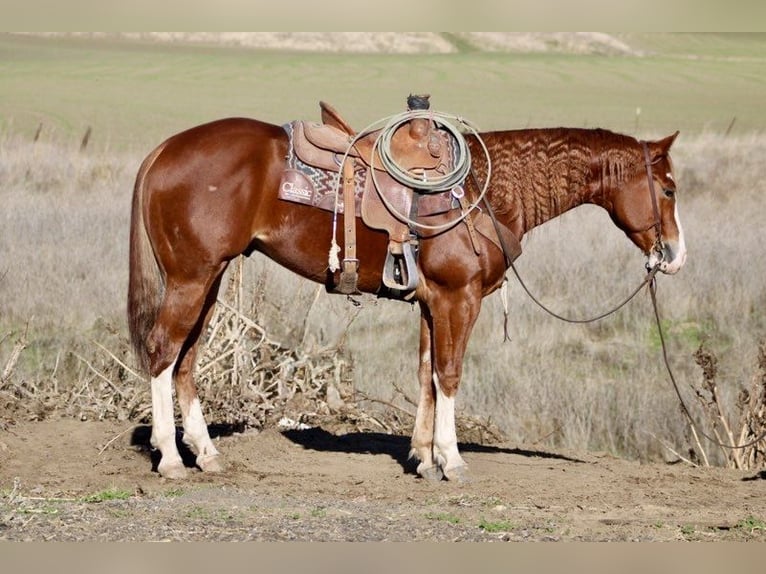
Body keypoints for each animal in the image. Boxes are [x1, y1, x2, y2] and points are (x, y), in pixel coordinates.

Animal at [127, 111, 686, 481]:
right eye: (669, 189)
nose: (676, 255)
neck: (484, 191)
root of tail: (163, 150)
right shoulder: (460, 299)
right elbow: (449, 374)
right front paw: (452, 460)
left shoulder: (431, 302)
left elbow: (426, 376)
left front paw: (423, 456)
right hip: (191, 279)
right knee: (162, 350)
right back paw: (171, 458)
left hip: (210, 279)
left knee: (186, 358)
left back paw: (205, 452)